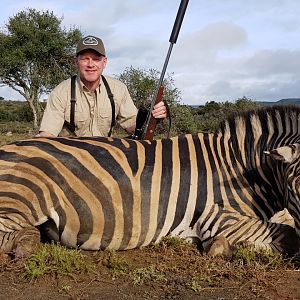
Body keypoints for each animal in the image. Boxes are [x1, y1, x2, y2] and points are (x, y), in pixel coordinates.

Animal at [0, 104, 300, 256]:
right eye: (295, 189)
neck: (240, 168)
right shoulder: (217, 217)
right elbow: (289, 236)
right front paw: (218, 248)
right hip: (22, 198)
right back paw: (26, 245)